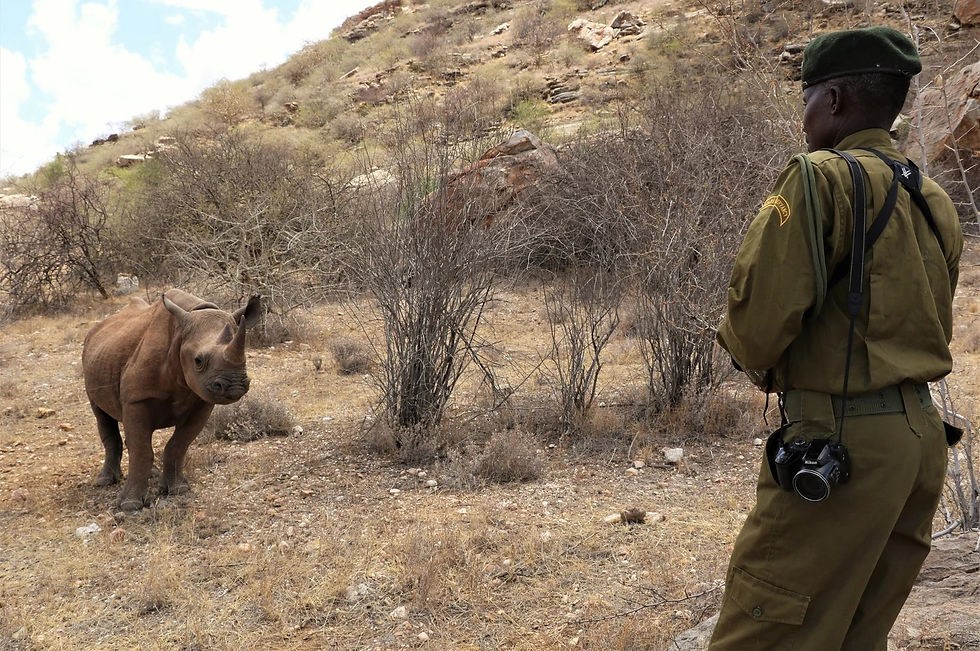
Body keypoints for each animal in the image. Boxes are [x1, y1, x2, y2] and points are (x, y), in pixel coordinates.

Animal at [82, 289, 261, 510]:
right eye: (198, 361)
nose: (235, 386)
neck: (180, 334)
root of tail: (97, 328)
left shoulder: (203, 402)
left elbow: (179, 445)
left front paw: (177, 490)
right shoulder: (137, 399)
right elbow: (142, 450)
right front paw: (130, 505)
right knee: (101, 415)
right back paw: (104, 482)